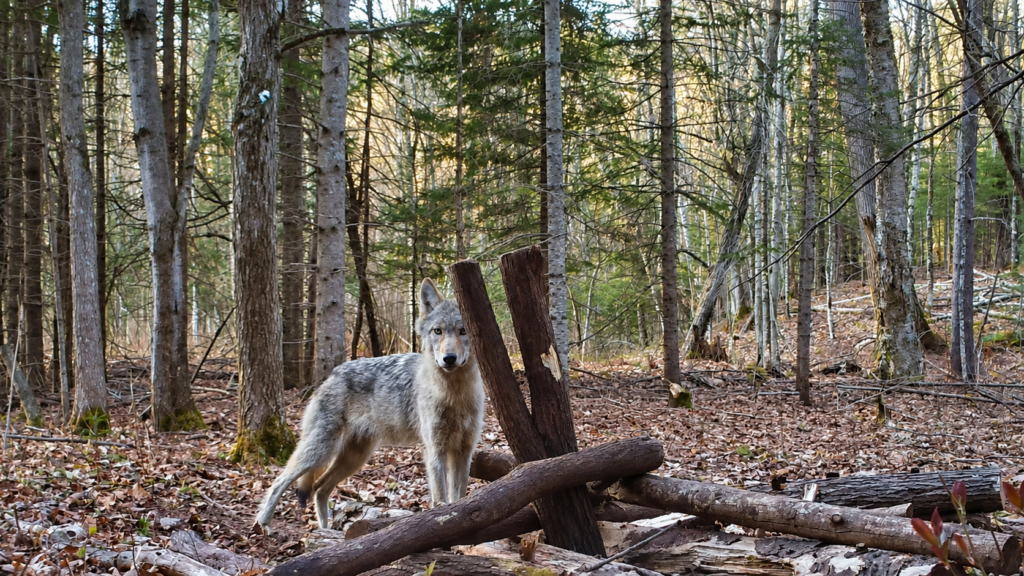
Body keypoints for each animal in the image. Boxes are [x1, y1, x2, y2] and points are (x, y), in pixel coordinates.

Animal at [255, 279, 485, 532]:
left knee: (319, 489)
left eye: (463, 331)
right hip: (320, 451)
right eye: (438, 331)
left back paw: (326, 532)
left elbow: (459, 498)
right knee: (281, 480)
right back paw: (264, 522)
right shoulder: (435, 452)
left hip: (354, 458)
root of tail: (332, 374)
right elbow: (442, 500)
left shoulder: (464, 452)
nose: (449, 358)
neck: (454, 396)